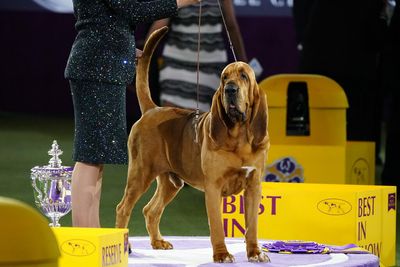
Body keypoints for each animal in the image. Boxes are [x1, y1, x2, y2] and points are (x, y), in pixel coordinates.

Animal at [116, 26, 272, 264]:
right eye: (224, 78)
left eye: (244, 76)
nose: (230, 90)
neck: (239, 137)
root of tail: (152, 109)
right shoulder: (213, 187)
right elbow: (216, 227)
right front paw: (222, 255)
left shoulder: (254, 186)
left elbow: (252, 225)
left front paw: (255, 252)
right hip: (140, 174)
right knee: (123, 208)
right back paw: (125, 246)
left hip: (171, 182)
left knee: (150, 210)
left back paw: (158, 242)